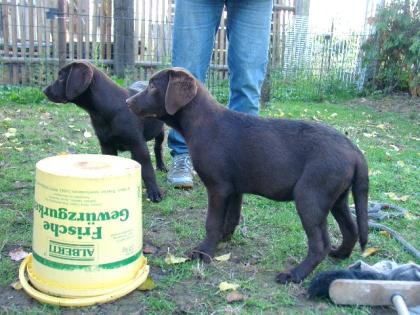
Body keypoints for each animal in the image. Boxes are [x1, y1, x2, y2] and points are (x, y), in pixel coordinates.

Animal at [124, 67, 368, 284]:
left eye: (153, 86)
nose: (127, 102)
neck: (202, 122)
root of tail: (355, 150)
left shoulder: (218, 188)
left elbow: (212, 222)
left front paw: (204, 252)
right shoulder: (234, 189)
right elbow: (231, 217)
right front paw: (223, 239)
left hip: (310, 195)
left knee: (319, 244)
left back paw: (295, 274)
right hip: (337, 197)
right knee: (351, 229)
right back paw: (340, 254)